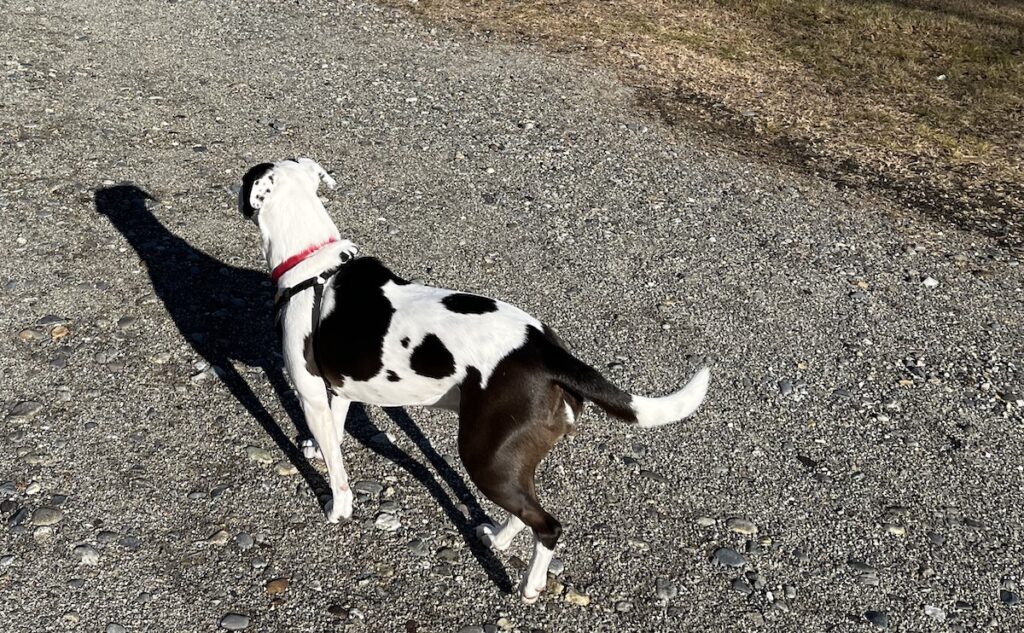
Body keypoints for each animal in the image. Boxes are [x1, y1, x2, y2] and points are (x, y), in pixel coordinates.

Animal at [235, 157, 708, 602]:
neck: (312, 264)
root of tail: (547, 352)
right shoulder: (339, 390)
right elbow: (333, 438)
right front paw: (317, 449)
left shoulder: (312, 395)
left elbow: (338, 472)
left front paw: (337, 508)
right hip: (507, 457)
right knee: (523, 510)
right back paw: (497, 538)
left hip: (484, 456)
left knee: (547, 525)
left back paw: (530, 585)